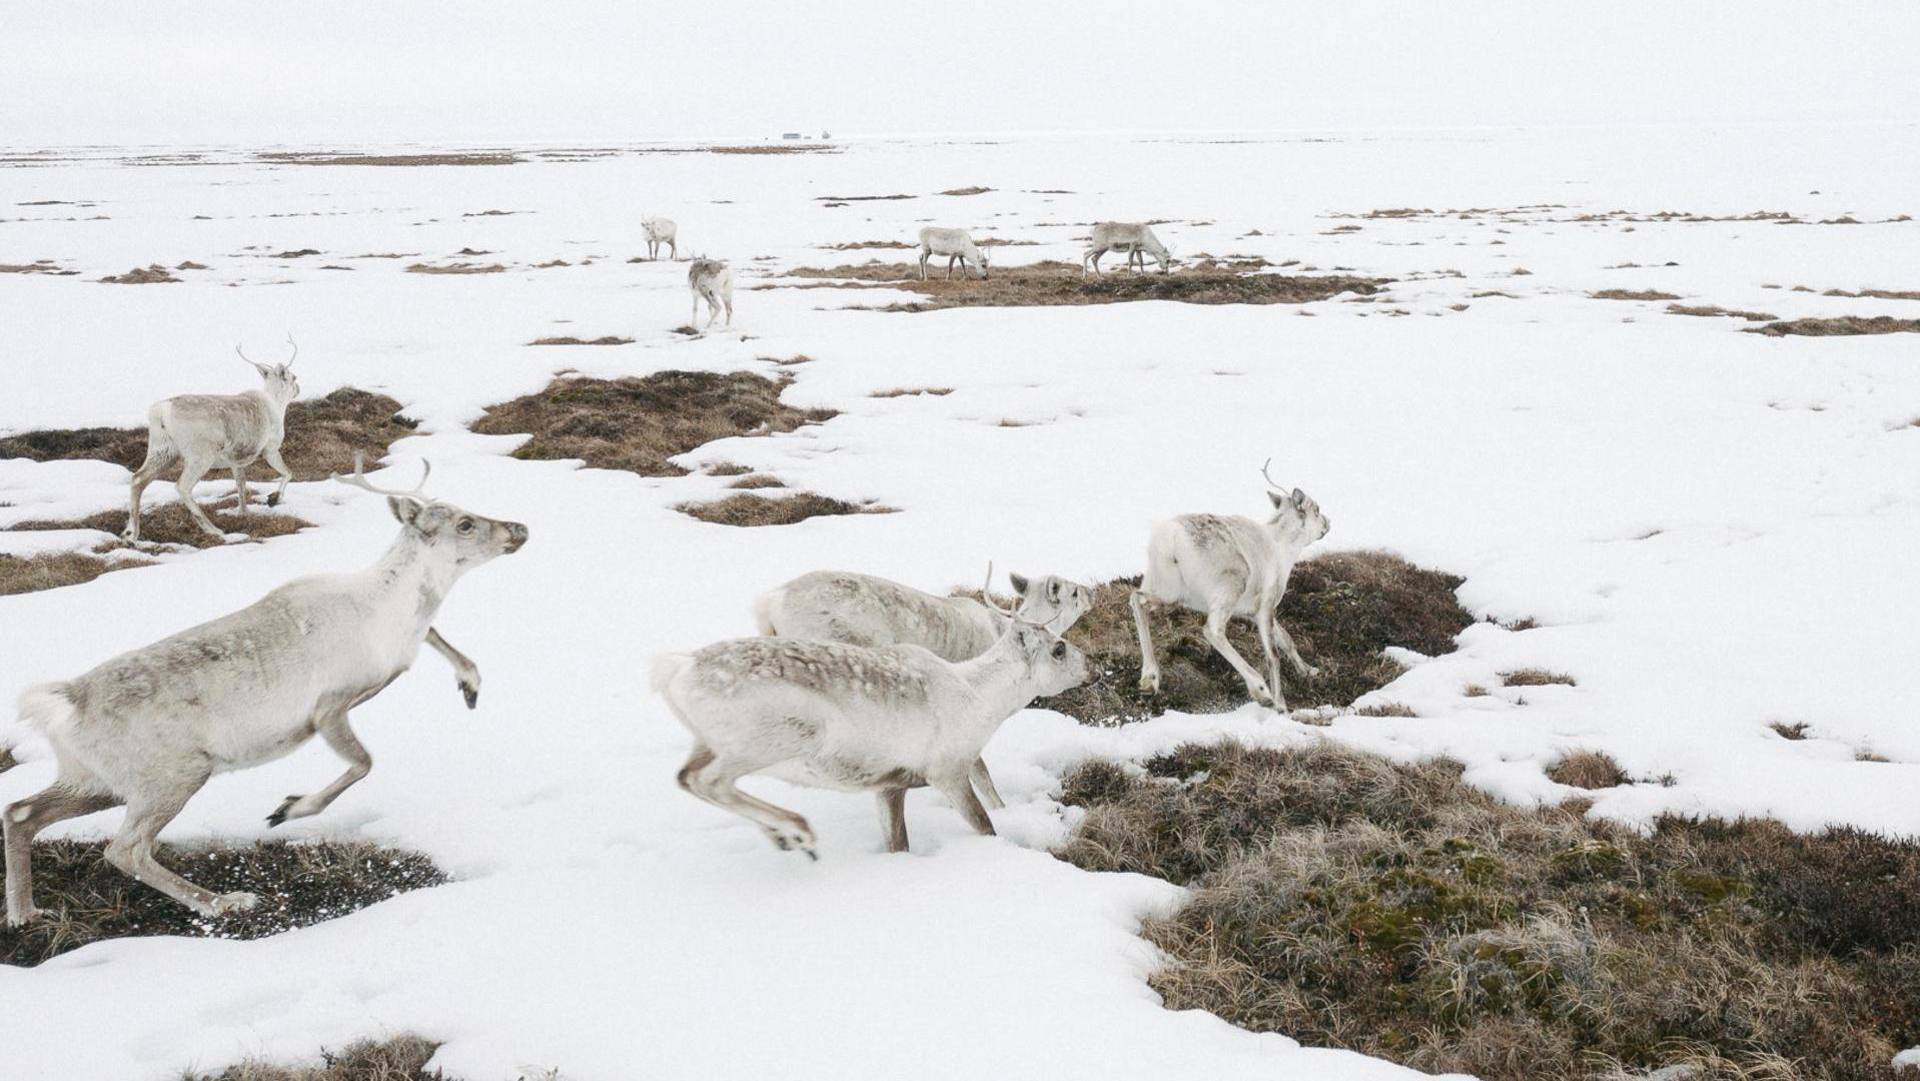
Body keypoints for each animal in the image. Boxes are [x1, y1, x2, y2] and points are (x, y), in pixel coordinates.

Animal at [3, 455, 528, 926]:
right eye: (465, 524)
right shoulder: (328, 707)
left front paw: (470, 684)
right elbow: (363, 763)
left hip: (96, 778)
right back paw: (225, 902)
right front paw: (288, 809)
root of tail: (64, 705)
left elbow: (438, 637)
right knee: (125, 848)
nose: (518, 528)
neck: (389, 611)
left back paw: (25, 913)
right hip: (172, 773)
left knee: (20, 811)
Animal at [124, 337, 302, 543]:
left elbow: (241, 484)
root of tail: (161, 411)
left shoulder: (236, 460)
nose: (298, 389)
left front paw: (243, 512)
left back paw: (131, 533)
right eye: (293, 377)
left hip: (163, 449)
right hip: (200, 456)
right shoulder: (271, 449)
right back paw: (213, 530)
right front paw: (273, 499)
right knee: (182, 486)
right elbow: (288, 472)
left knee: (138, 479)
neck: (277, 404)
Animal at [1130, 461, 1329, 711]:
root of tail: (1170, 540)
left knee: (1137, 600)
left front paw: (1310, 671)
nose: (1328, 523)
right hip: (1228, 588)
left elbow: (1287, 640)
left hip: (1165, 588)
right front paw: (1281, 704)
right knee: (1212, 630)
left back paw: (1149, 679)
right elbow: (1273, 656)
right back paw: (1260, 689)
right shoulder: (1265, 606)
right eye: (1316, 509)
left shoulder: (1251, 612)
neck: (1283, 549)